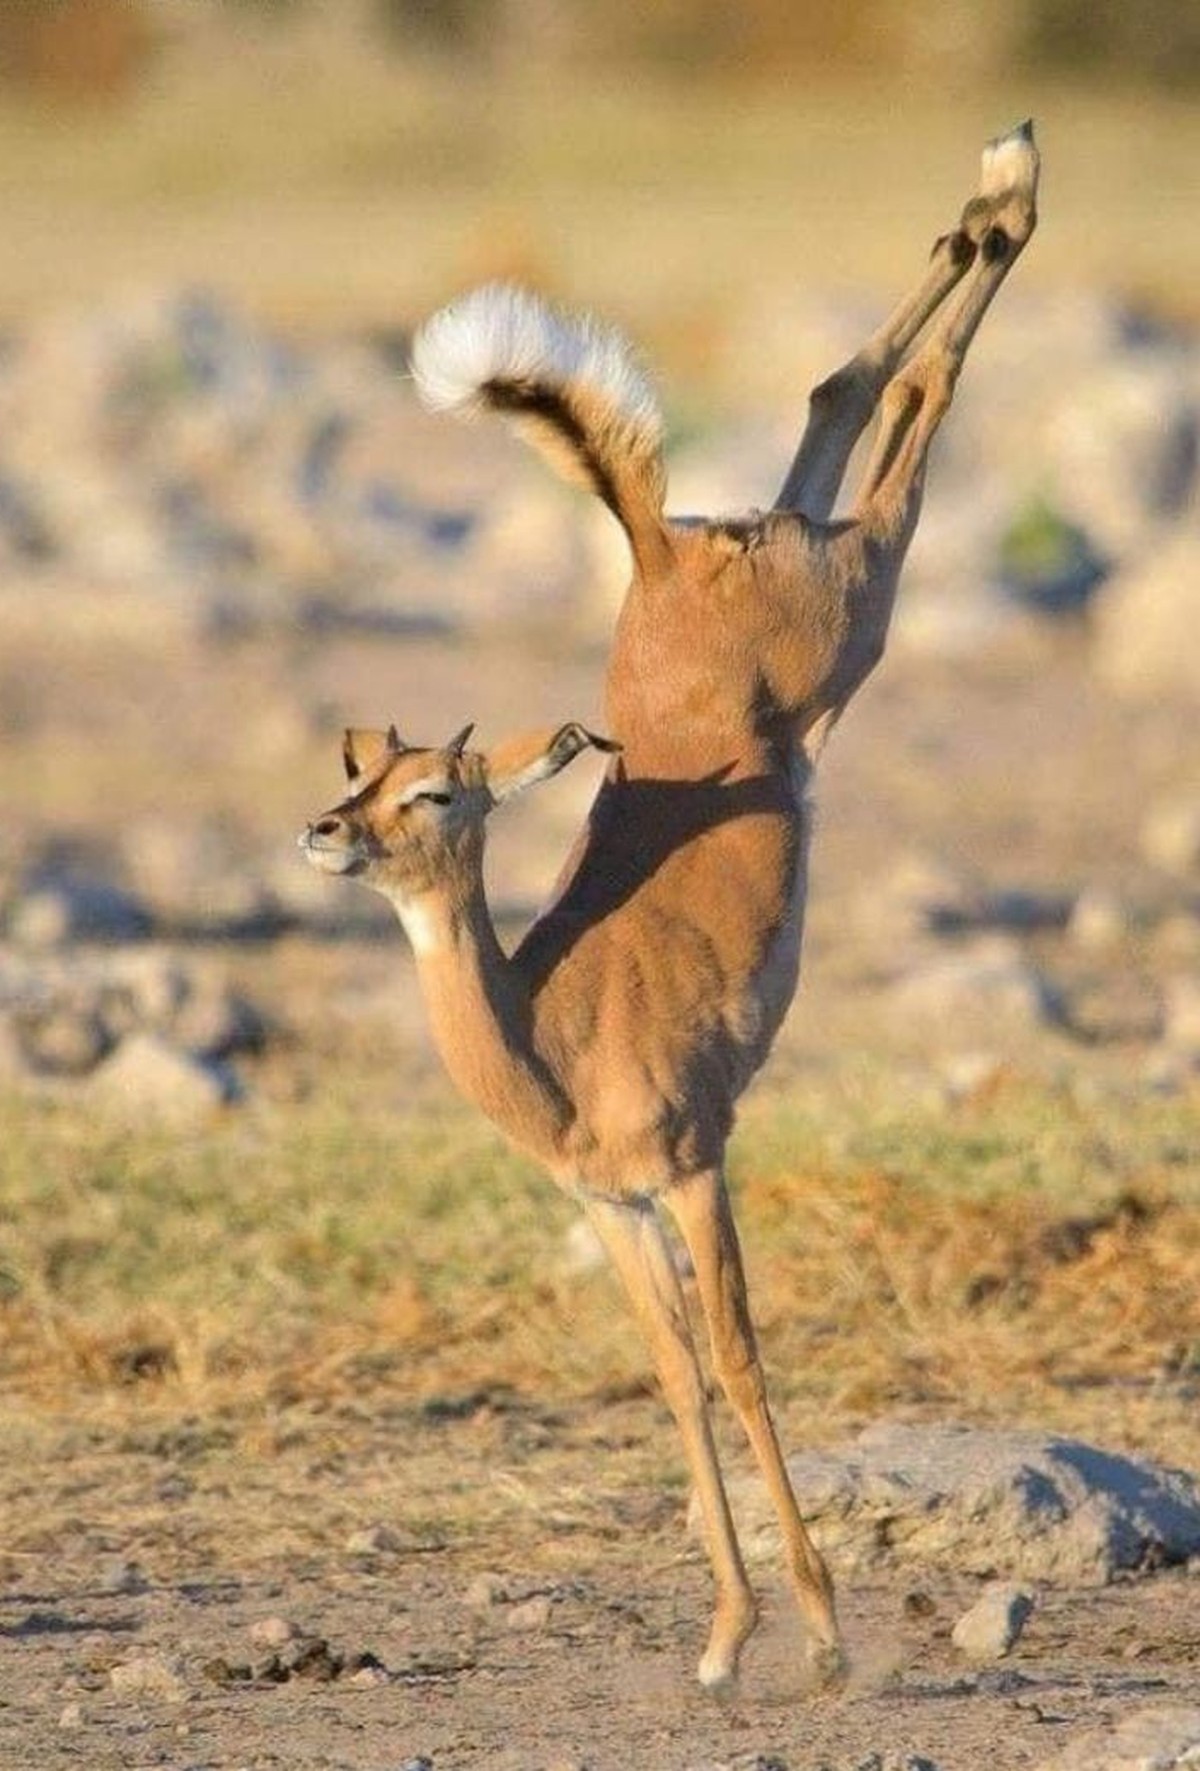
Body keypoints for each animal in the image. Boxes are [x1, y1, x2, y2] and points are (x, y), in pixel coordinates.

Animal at [299, 124, 1039, 1693]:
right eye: (357, 773)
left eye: (435, 791)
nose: (323, 833)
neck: (557, 1048)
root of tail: (649, 548)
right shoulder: (616, 1208)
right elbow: (678, 1380)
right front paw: (724, 1636)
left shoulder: (698, 1168)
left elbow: (744, 1361)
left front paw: (818, 1631)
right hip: (828, 585)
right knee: (844, 392)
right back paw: (988, 195)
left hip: (863, 598)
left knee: (919, 410)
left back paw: (1010, 190)